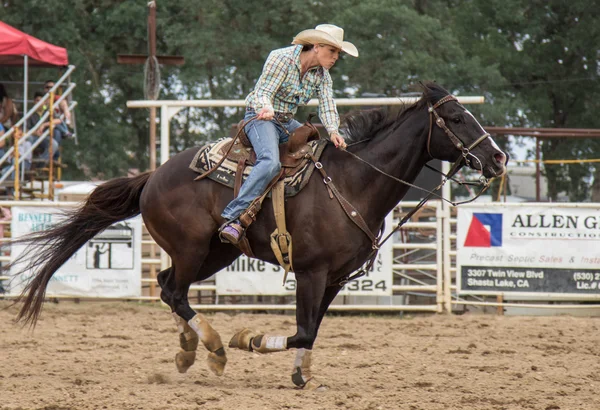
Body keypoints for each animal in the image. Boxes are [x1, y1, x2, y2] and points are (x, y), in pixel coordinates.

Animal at [10, 81, 506, 390]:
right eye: (456, 118)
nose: (499, 158)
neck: (352, 182)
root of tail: (153, 175)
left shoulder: (335, 279)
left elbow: (312, 331)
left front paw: (300, 375)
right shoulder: (311, 272)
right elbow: (302, 330)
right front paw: (247, 340)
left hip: (215, 254)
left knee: (168, 286)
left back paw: (188, 350)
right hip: (193, 248)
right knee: (174, 291)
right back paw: (212, 347)